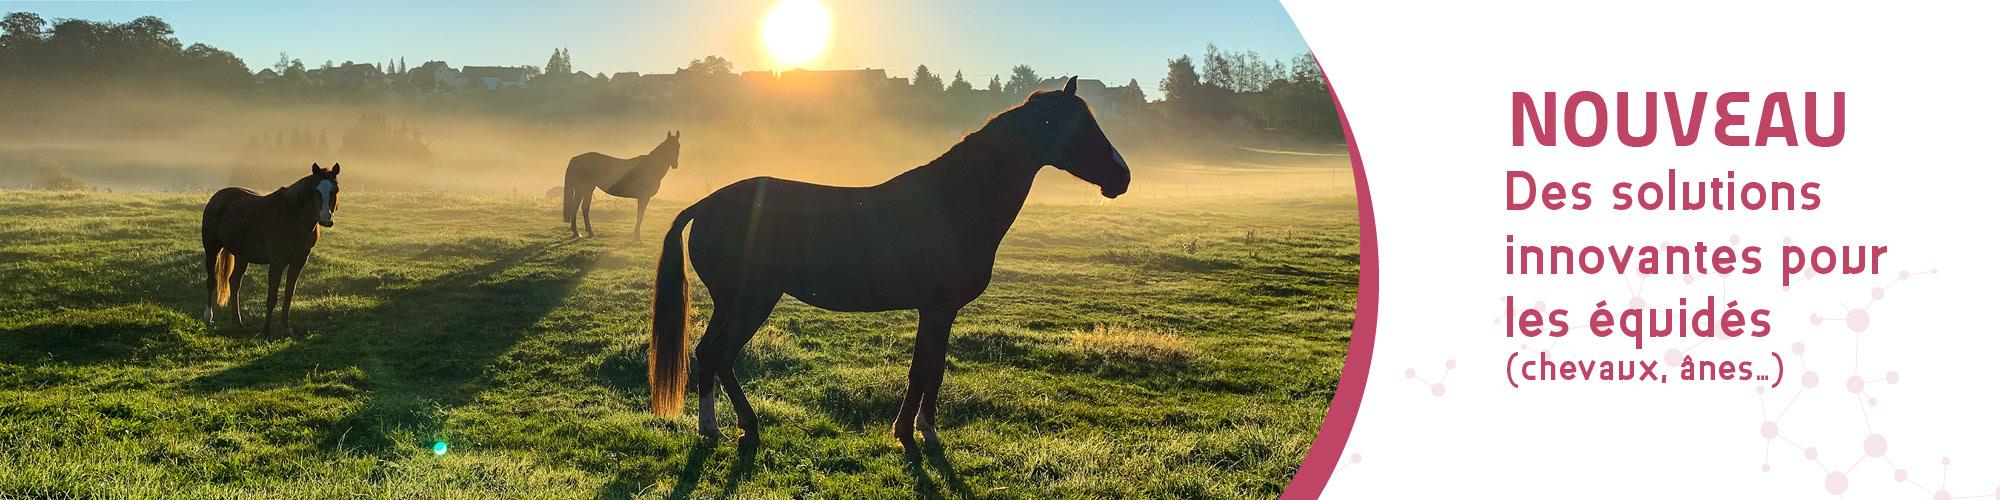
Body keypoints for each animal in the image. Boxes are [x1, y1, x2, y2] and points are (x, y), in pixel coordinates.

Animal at [203, 164, 344, 336]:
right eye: (315, 190)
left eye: (335, 190)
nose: (325, 218)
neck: (293, 218)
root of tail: (217, 197)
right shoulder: (277, 262)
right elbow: (272, 297)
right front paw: (266, 331)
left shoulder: (299, 261)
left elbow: (289, 293)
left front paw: (286, 326)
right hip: (212, 250)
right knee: (211, 281)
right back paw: (208, 317)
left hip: (242, 256)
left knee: (234, 282)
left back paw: (238, 322)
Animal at [652, 76, 1136, 452]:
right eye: (1077, 127)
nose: (1123, 177)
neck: (952, 202)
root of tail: (707, 204)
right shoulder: (937, 308)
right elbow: (924, 370)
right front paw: (916, 433)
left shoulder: (939, 311)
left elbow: (930, 367)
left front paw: (917, 428)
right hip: (751, 301)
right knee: (721, 355)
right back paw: (745, 427)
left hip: (731, 303)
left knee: (707, 354)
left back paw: (712, 428)